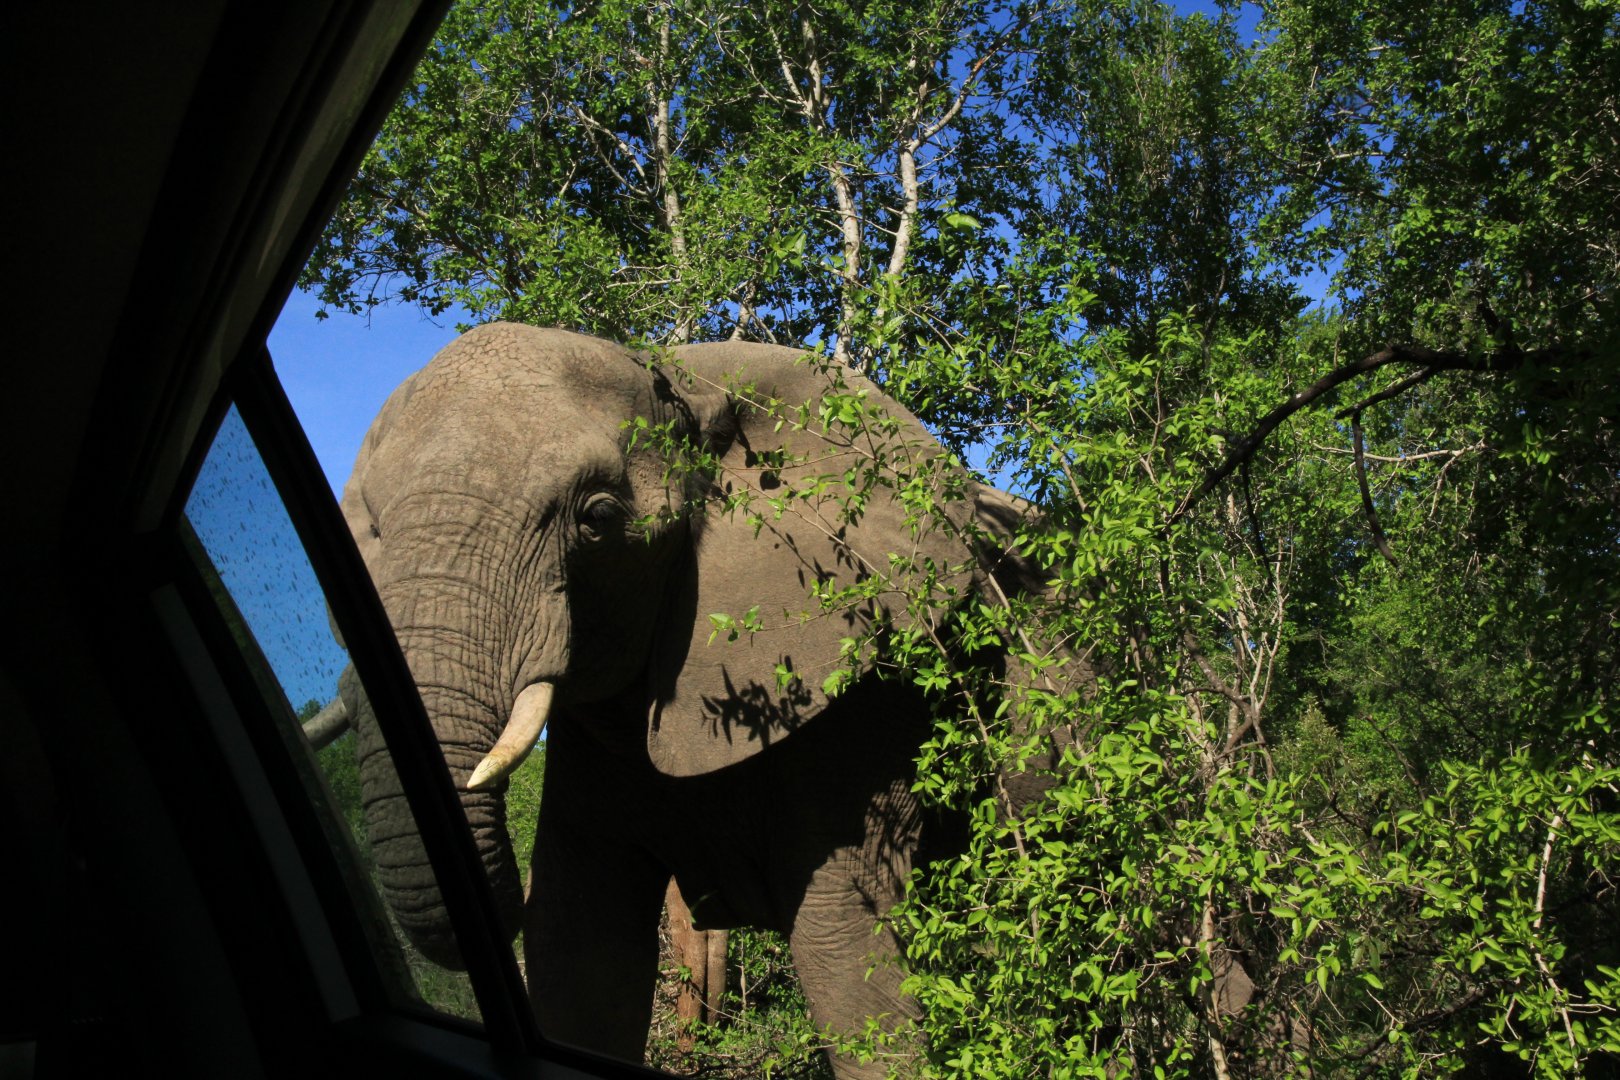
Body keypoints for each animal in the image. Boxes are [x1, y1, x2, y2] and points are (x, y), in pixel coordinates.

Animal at [334, 323, 1051, 1077]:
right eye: (370, 526)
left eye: (598, 518)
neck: (683, 383)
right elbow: (579, 944)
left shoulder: (865, 693)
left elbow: (849, 954)